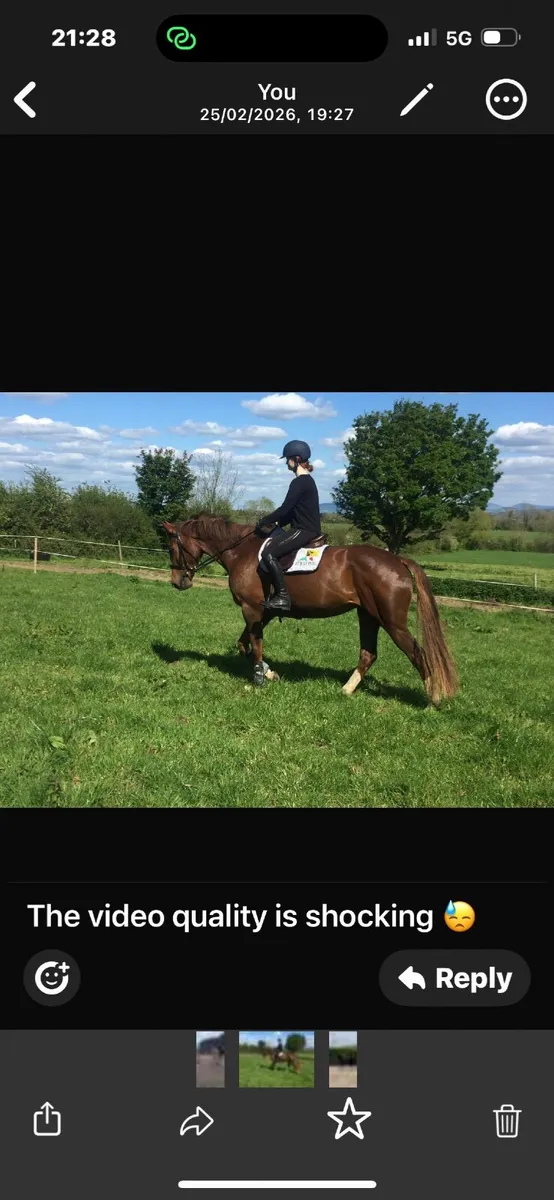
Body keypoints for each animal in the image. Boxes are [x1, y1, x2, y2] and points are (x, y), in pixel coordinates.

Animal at [163, 516, 458, 705]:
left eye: (172, 546)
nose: (178, 582)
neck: (242, 552)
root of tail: (397, 560)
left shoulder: (252, 609)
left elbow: (254, 644)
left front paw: (260, 677)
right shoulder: (264, 612)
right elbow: (244, 644)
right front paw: (268, 671)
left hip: (392, 622)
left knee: (417, 653)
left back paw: (433, 699)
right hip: (368, 616)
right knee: (368, 654)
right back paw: (346, 690)